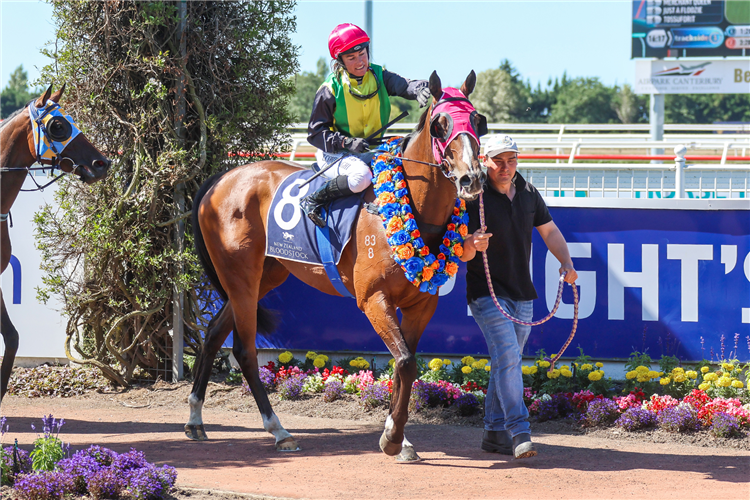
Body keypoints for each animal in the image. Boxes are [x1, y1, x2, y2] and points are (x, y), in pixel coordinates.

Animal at [189, 70, 488, 460]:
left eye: (478, 121)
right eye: (441, 125)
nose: (473, 178)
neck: (414, 209)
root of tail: (219, 180)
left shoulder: (421, 304)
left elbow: (404, 365)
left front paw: (398, 437)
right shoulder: (373, 299)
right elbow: (405, 362)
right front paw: (393, 438)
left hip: (263, 276)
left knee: (212, 334)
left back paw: (195, 419)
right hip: (240, 276)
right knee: (244, 350)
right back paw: (279, 431)